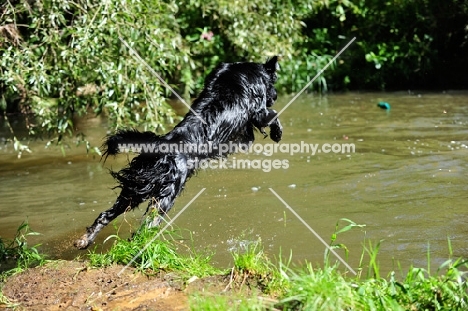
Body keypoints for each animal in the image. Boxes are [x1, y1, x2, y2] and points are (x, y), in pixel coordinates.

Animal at [74, 56, 282, 250]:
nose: (276, 95)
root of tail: (160, 145)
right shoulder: (258, 112)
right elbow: (273, 116)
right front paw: (277, 133)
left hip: (133, 191)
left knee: (105, 215)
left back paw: (84, 241)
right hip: (165, 197)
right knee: (145, 228)